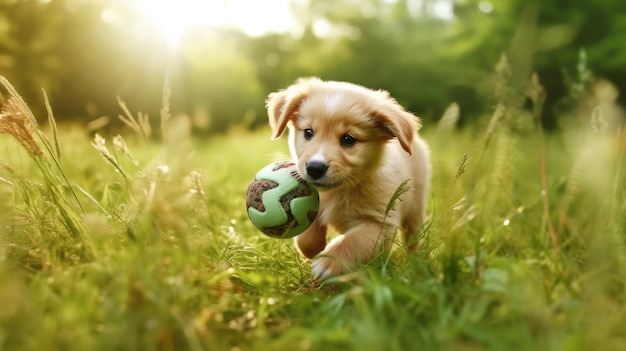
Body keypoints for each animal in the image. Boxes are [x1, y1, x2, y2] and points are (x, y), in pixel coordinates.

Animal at [264, 77, 428, 280]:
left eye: (348, 139)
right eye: (308, 132)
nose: (314, 168)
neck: (341, 190)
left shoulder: (380, 224)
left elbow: (354, 241)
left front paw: (328, 262)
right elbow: (306, 236)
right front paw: (315, 248)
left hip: (415, 208)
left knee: (412, 238)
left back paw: (414, 264)